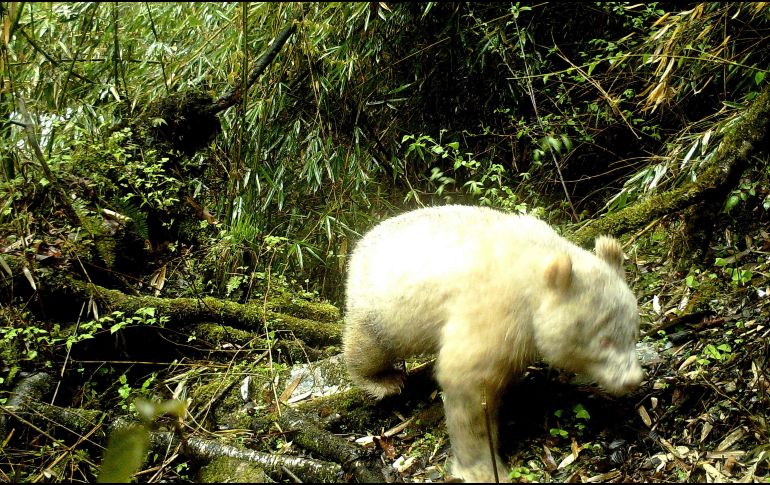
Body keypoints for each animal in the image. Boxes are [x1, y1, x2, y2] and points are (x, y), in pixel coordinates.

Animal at [342, 204, 644, 483]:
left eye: (633, 332)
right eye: (604, 340)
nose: (632, 380)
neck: (534, 270)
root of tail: (360, 245)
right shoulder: (495, 309)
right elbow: (467, 382)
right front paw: (482, 468)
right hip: (382, 306)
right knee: (369, 346)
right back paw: (383, 380)